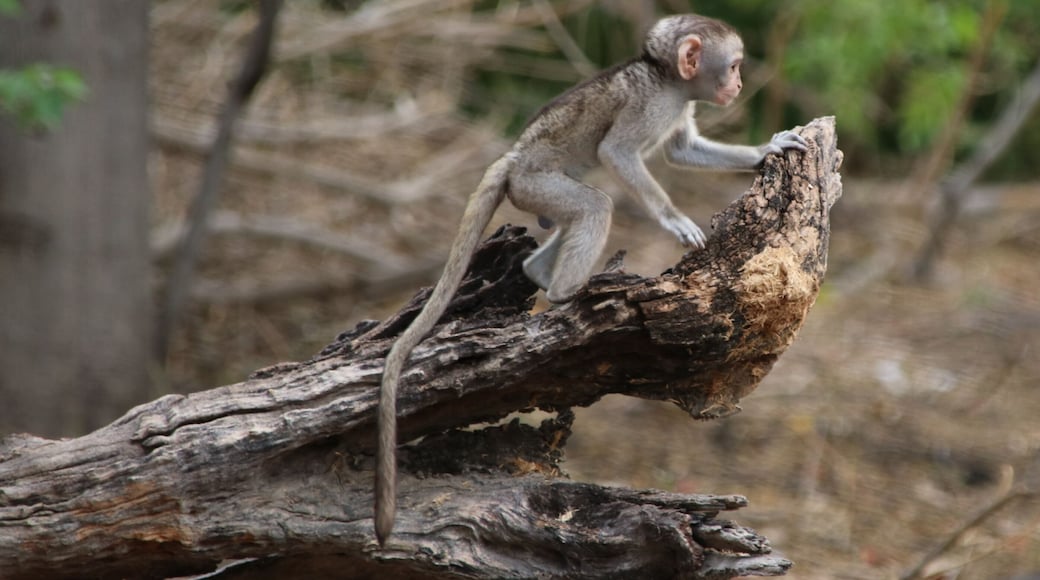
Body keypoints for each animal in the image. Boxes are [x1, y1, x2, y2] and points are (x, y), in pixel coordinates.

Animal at [374, 13, 807, 545]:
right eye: (732, 66)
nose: (740, 84)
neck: (664, 78)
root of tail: (514, 158)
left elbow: (682, 151)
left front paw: (767, 147)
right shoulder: (651, 106)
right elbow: (618, 152)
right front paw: (672, 219)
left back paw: (539, 272)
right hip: (536, 185)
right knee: (596, 203)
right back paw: (567, 291)